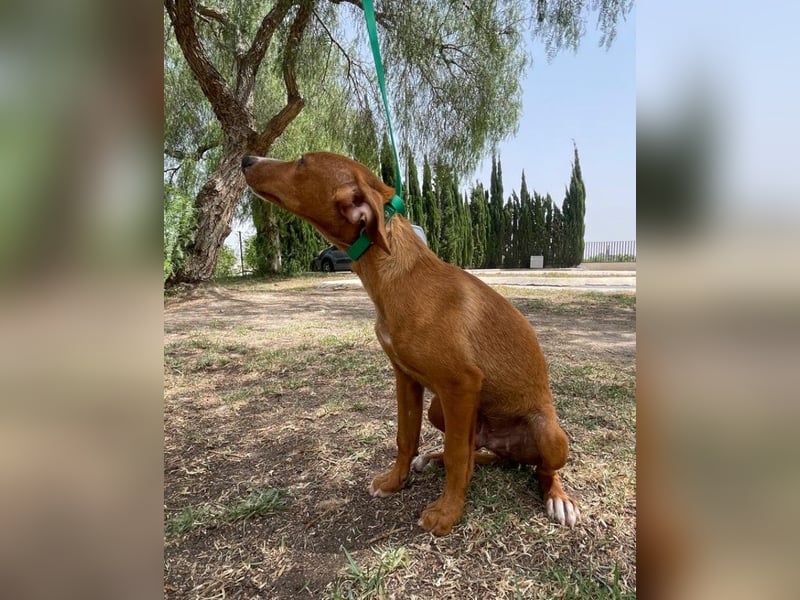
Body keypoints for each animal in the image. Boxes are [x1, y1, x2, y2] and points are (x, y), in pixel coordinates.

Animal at [241, 152, 580, 535]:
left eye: (301, 163)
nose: (246, 159)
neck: (400, 278)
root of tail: (508, 448)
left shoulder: (461, 384)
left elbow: (457, 457)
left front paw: (447, 514)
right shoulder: (406, 378)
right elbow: (406, 437)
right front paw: (395, 481)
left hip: (549, 435)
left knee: (541, 469)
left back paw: (558, 499)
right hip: (441, 411)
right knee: (480, 454)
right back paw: (432, 459)